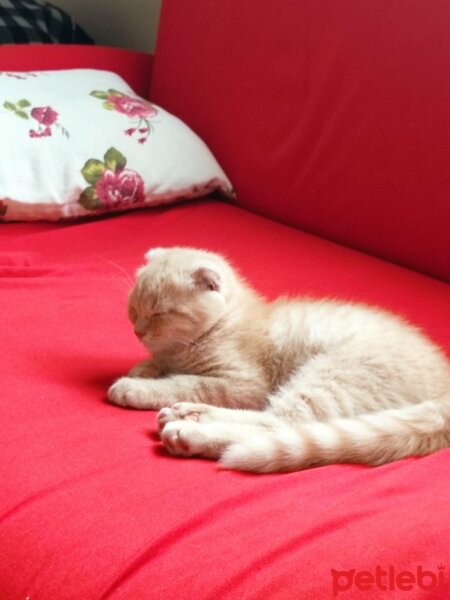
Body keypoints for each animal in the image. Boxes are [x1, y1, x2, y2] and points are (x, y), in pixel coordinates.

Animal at [109, 246, 450, 472]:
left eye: (160, 313)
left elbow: (186, 382)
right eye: (133, 308)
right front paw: (143, 368)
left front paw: (133, 387)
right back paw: (189, 414)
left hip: (333, 377)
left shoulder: (245, 383)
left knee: (279, 422)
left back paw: (189, 432)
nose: (138, 330)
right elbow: (164, 367)